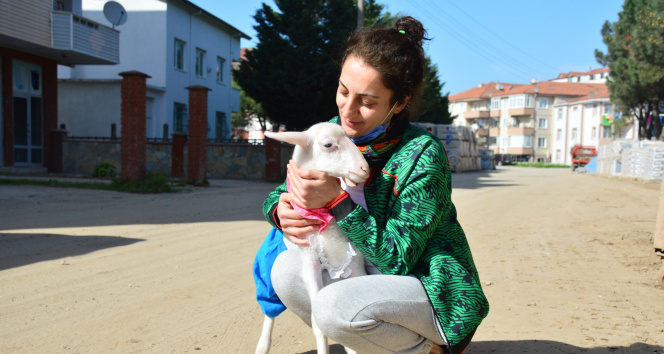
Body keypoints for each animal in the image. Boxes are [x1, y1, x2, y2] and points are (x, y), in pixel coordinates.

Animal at [255, 122, 370, 354]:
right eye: (328, 145)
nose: (365, 169)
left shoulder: (354, 264)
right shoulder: (309, 263)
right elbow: (318, 326)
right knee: (268, 311)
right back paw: (262, 346)